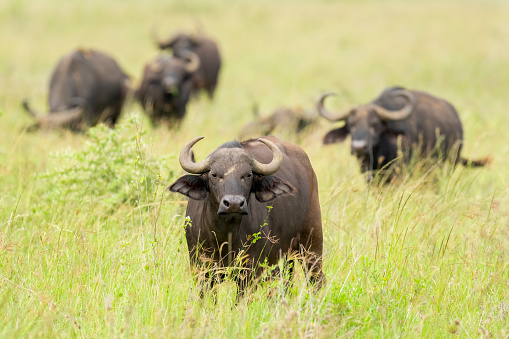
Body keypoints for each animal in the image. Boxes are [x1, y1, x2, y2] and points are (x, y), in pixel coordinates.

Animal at [169, 135, 324, 298]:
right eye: (214, 175)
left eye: (248, 175)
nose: (234, 204)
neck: (226, 236)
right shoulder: (203, 269)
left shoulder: (249, 272)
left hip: (312, 244)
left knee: (316, 279)